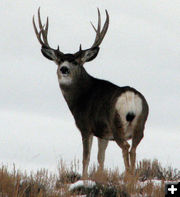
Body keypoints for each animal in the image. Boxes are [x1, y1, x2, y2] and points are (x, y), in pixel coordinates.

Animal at [32, 8, 149, 179]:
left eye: (75, 62)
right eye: (59, 61)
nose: (64, 69)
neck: (81, 96)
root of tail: (130, 96)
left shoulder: (86, 127)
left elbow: (86, 158)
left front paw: (85, 180)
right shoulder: (103, 133)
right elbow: (101, 158)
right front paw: (100, 177)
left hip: (117, 124)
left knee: (126, 147)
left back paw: (128, 178)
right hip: (140, 125)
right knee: (133, 149)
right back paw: (131, 179)